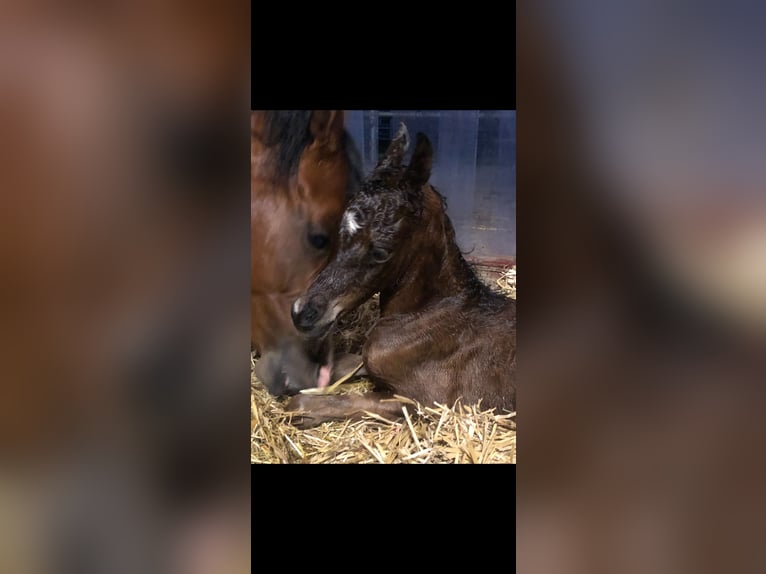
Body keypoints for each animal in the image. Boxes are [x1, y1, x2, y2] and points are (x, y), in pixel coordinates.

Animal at [290, 125, 520, 428]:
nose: (302, 313)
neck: (427, 315)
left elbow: (311, 404)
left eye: (380, 251)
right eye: (340, 230)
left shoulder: (423, 403)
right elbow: (343, 362)